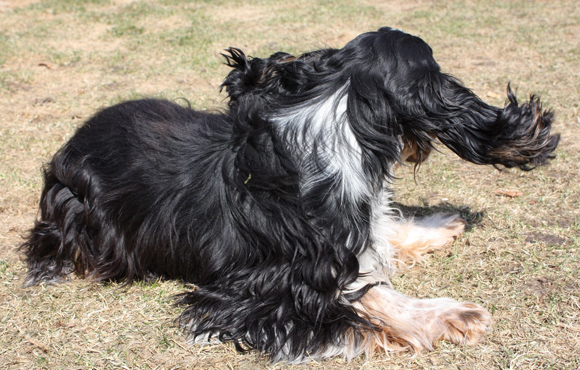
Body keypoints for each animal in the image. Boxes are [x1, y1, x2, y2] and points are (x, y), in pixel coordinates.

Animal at [20, 27, 560, 362]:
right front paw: (442, 318)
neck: (336, 119)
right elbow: (356, 307)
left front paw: (438, 227)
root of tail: (74, 140)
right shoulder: (248, 297)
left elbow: (375, 257)